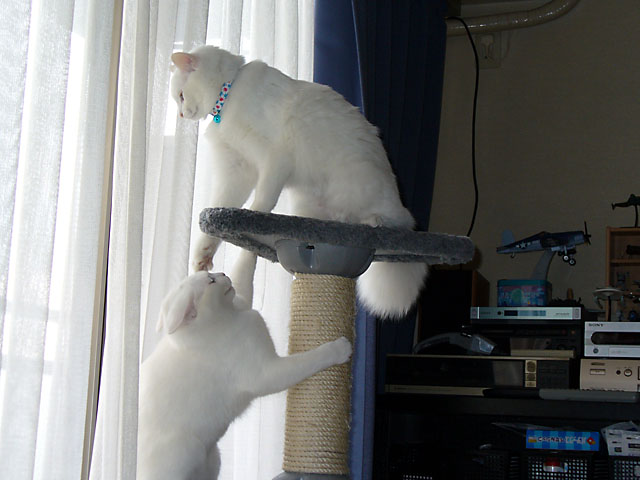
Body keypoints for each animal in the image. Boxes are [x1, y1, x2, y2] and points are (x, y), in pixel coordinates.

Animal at [137, 270, 352, 480]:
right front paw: (340, 348)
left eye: (210, 273)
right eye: (211, 280)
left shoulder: (241, 297)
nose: (223, 273)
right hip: (188, 451)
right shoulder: (267, 372)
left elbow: (243, 274)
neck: (233, 316)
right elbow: (309, 360)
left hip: (214, 461)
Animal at [170, 45, 427, 318]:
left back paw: (372, 222)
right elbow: (216, 216)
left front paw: (252, 224)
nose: (181, 114)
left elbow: (260, 203)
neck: (230, 90)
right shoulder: (237, 171)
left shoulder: (274, 159)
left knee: (396, 220)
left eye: (181, 96)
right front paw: (202, 259)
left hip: (363, 185)